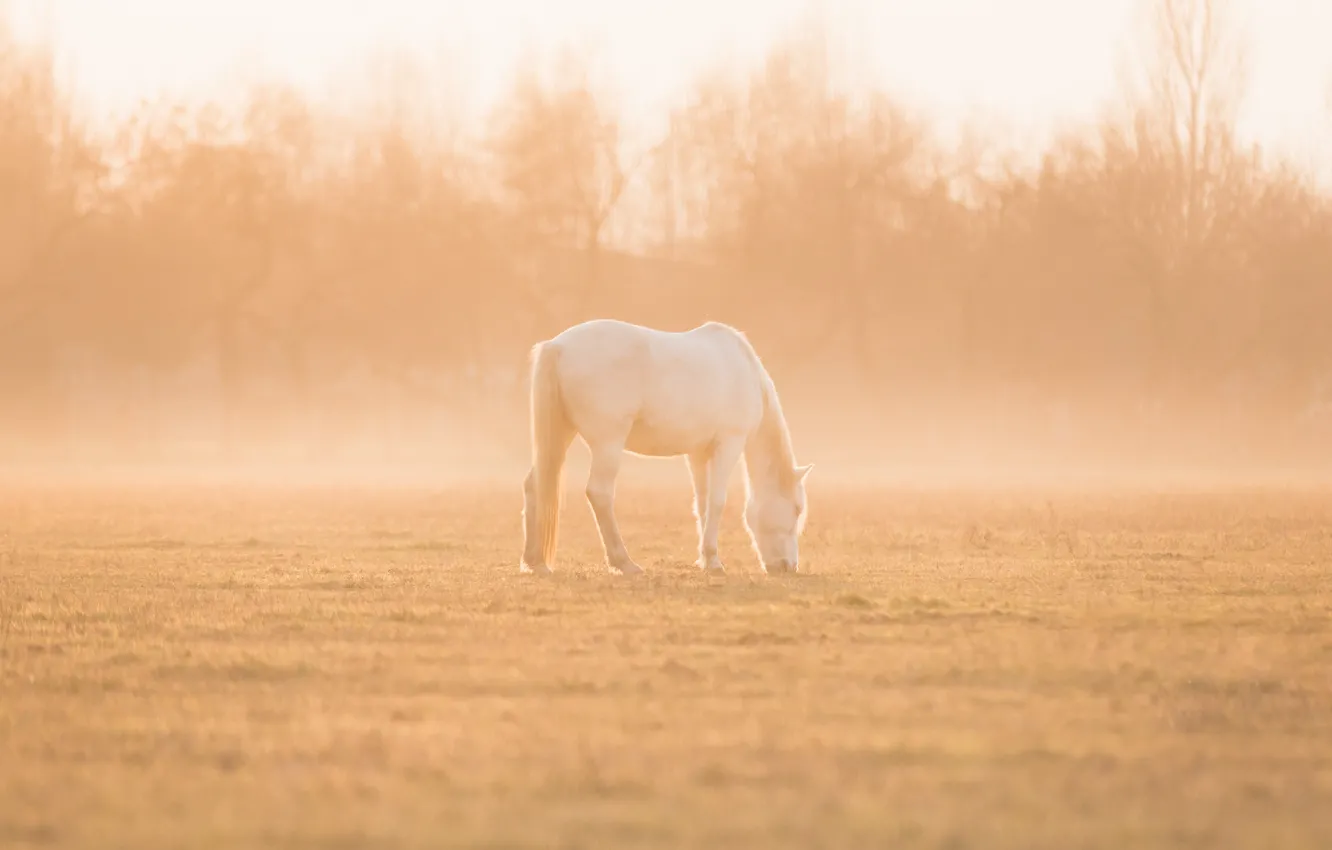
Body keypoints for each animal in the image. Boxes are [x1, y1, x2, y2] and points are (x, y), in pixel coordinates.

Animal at [519, 319, 812, 577]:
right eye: (797, 509)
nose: (789, 566)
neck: (743, 369)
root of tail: (558, 345)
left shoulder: (698, 453)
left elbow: (702, 503)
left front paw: (706, 559)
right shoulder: (729, 443)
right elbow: (717, 501)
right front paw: (714, 561)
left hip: (562, 434)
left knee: (534, 484)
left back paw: (535, 562)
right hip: (607, 445)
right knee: (599, 493)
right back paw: (623, 562)